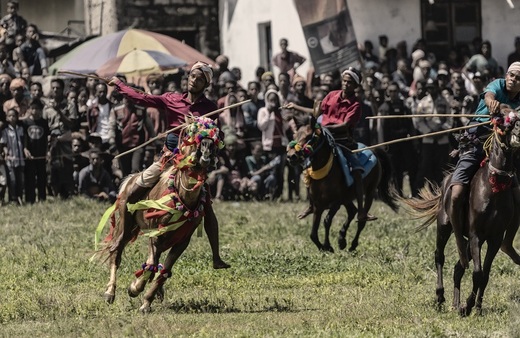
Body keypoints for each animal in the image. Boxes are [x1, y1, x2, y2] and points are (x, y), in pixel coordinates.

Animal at [96, 116, 222, 312]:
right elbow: (152, 265)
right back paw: (110, 292)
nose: (207, 148)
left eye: (215, 137)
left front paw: (147, 300)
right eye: (193, 134)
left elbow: (163, 271)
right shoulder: (156, 235)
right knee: (116, 253)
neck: (181, 196)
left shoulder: (181, 241)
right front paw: (135, 288)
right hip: (126, 226)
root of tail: (130, 179)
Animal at [286, 116, 400, 251]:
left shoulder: (336, 202)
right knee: (352, 211)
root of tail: (373, 151)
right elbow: (313, 234)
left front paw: (328, 246)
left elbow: (327, 221)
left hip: (369, 192)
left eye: (309, 136)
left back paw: (352, 244)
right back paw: (342, 239)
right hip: (347, 198)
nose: (291, 156)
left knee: (361, 218)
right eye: (295, 135)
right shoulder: (318, 205)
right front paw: (324, 246)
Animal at [404, 112, 520, 316]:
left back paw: (456, 303)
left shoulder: (495, 238)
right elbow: (477, 273)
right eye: (504, 123)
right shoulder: (475, 235)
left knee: (459, 267)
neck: (493, 188)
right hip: (444, 225)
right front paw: (468, 305)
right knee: (439, 256)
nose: (518, 132)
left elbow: (485, 274)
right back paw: (440, 296)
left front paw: (475, 307)